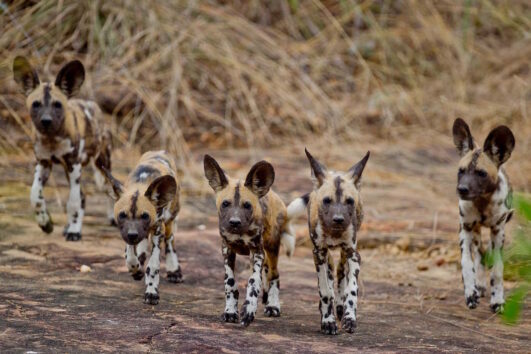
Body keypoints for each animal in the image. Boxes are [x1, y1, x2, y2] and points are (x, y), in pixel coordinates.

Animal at [13, 56, 113, 242]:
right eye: (36, 104)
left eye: (57, 105)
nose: (46, 121)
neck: (52, 139)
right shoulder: (44, 164)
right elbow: (35, 195)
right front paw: (45, 223)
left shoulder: (73, 165)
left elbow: (72, 202)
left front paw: (74, 231)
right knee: (83, 196)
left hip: (101, 166)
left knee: (106, 190)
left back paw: (109, 219)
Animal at [97, 149, 183, 304]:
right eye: (122, 215)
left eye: (145, 216)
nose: (132, 235)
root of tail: (160, 151)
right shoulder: (127, 234)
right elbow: (130, 257)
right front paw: (136, 270)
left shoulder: (158, 230)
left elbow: (153, 266)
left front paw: (151, 292)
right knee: (142, 244)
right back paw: (141, 258)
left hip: (169, 221)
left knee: (170, 242)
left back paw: (174, 270)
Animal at [204, 156, 298, 328]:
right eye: (225, 204)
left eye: (247, 205)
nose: (235, 222)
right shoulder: (227, 250)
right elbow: (230, 282)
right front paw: (230, 311)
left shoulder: (257, 252)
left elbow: (253, 282)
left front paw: (249, 310)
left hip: (271, 248)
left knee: (274, 275)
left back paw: (273, 305)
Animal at [286, 149, 370, 334]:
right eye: (327, 200)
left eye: (349, 201)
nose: (338, 219)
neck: (334, 232)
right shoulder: (319, 253)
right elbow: (325, 290)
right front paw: (328, 320)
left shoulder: (353, 254)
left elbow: (351, 290)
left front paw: (349, 318)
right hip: (325, 255)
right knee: (331, 276)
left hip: (345, 253)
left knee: (340, 273)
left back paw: (339, 306)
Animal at [454, 119, 516, 312]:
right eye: (461, 171)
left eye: (481, 173)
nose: (462, 189)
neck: (482, 202)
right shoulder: (465, 230)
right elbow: (467, 264)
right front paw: (470, 292)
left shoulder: (498, 231)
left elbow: (497, 270)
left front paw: (498, 300)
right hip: (474, 233)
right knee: (479, 253)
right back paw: (478, 285)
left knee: (486, 254)